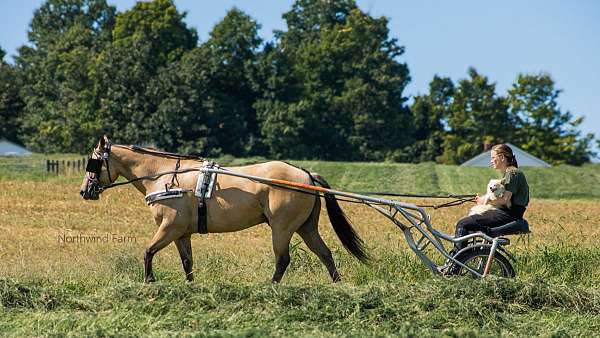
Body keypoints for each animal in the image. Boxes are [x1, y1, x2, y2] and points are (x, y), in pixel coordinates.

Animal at [80, 136, 368, 284]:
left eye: (93, 162)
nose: (84, 191)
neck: (164, 175)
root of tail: (305, 175)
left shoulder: (170, 227)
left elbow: (148, 251)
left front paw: (149, 281)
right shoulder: (182, 233)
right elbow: (187, 262)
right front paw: (190, 286)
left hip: (282, 228)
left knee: (283, 259)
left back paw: (271, 286)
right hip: (306, 227)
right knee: (325, 253)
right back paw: (337, 284)